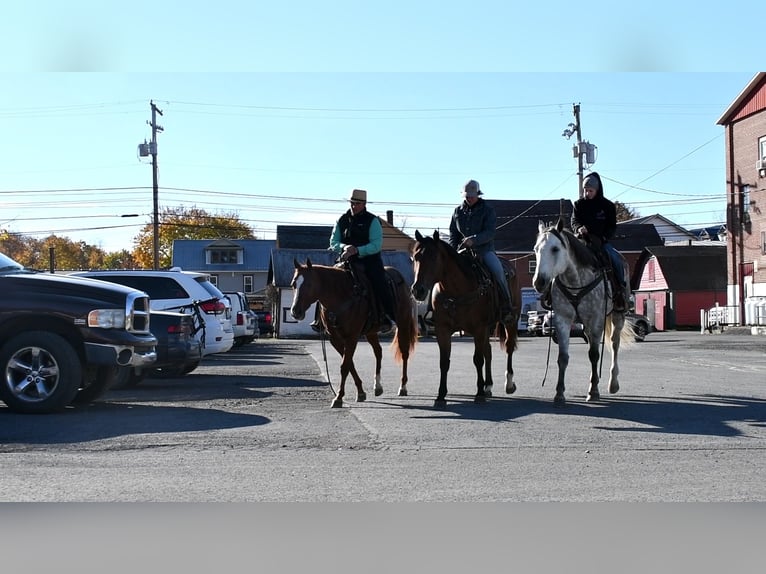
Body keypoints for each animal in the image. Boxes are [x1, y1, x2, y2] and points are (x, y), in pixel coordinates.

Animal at [290, 256, 420, 410]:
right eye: (293, 284)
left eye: (309, 284)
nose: (295, 311)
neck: (341, 295)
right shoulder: (335, 339)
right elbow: (349, 363)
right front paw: (361, 392)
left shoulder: (352, 337)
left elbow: (344, 366)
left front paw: (338, 397)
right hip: (371, 332)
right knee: (378, 351)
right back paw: (378, 386)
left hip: (403, 324)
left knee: (404, 352)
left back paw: (403, 387)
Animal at [408, 230, 520, 410]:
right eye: (416, 257)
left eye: (434, 257)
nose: (418, 290)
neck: (457, 292)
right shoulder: (443, 330)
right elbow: (444, 362)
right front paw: (441, 396)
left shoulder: (478, 328)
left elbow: (478, 360)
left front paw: (479, 394)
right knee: (488, 351)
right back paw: (488, 386)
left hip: (510, 321)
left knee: (509, 348)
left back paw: (508, 384)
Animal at [536, 219, 636, 404]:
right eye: (536, 249)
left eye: (555, 249)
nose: (539, 282)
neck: (575, 281)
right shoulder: (562, 320)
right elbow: (563, 357)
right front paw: (559, 393)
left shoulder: (596, 319)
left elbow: (594, 355)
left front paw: (593, 391)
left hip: (617, 315)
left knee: (614, 343)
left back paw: (613, 383)